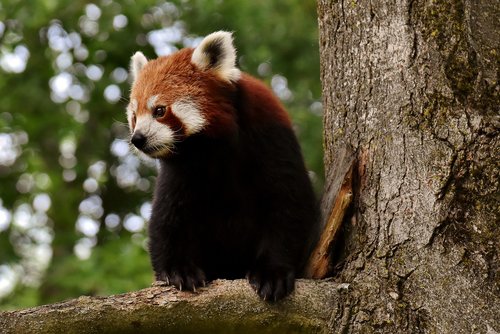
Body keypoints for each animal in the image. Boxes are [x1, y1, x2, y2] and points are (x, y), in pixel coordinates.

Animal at [127, 32, 318, 302]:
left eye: (160, 111)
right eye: (134, 116)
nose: (138, 139)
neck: (211, 148)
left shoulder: (271, 137)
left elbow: (289, 203)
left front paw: (273, 272)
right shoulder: (181, 169)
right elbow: (167, 215)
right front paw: (179, 270)